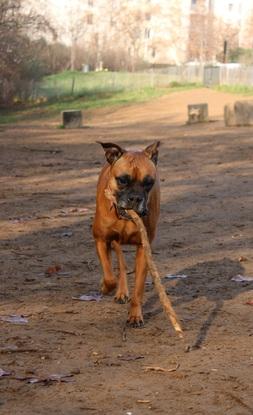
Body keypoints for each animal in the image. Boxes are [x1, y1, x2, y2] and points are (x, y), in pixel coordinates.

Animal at [93, 143, 160, 328]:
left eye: (149, 182)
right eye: (122, 180)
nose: (136, 198)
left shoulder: (143, 249)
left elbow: (138, 288)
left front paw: (135, 315)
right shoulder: (101, 240)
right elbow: (110, 278)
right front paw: (104, 287)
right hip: (114, 242)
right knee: (120, 265)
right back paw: (119, 291)